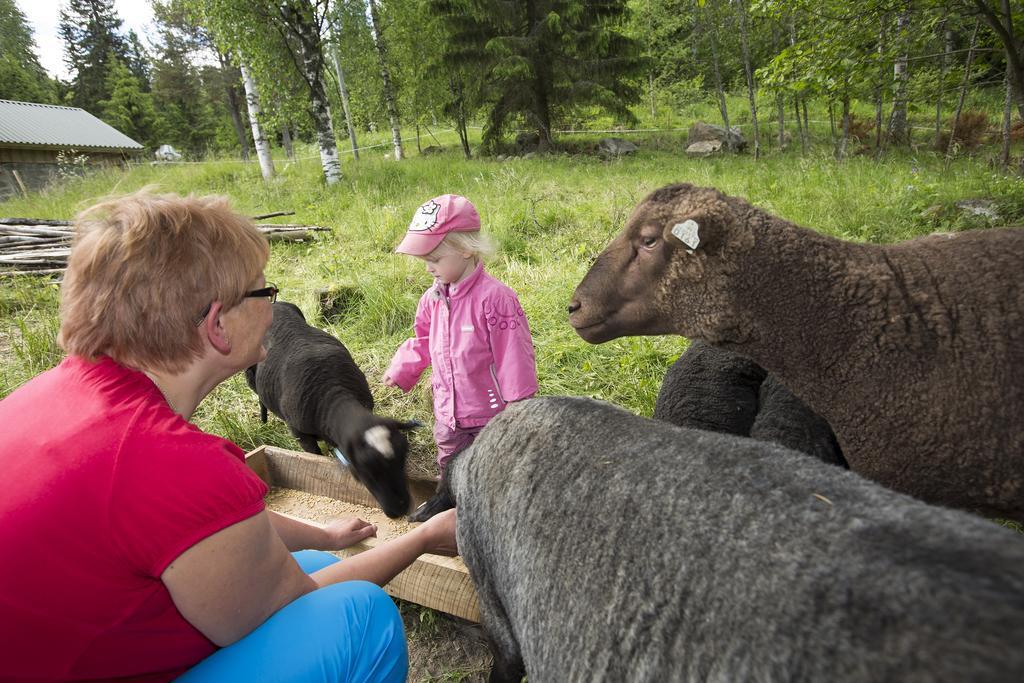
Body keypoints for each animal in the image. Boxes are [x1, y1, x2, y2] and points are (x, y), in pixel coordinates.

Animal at [245, 301, 417, 516]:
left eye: (403, 459)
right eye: (366, 471)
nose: (400, 508)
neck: (332, 394)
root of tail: (275, 303)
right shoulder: (299, 432)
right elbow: (314, 456)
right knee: (258, 394)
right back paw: (263, 420)